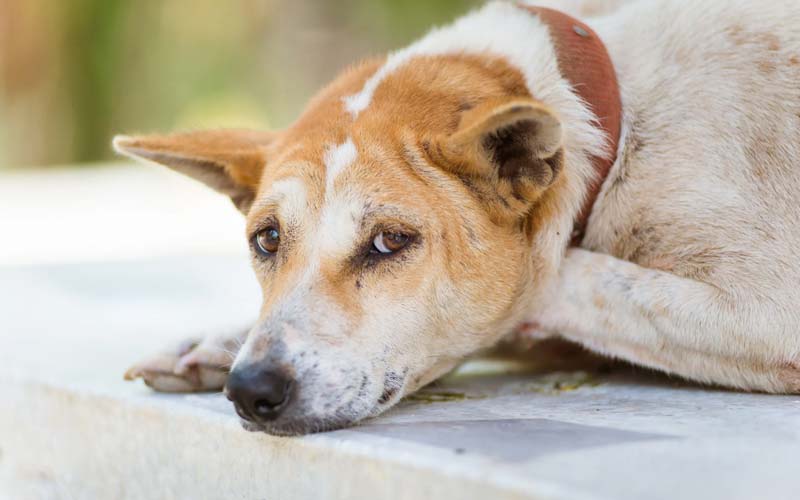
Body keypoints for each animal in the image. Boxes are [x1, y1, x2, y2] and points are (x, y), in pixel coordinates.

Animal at [112, 0, 800, 436]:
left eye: (391, 241)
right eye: (267, 238)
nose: (252, 388)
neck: (611, 123)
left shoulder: (770, 313)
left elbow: (558, 278)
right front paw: (213, 341)